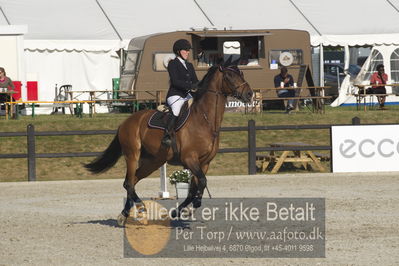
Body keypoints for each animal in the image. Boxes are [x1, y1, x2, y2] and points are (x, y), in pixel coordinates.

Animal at [85, 61, 253, 225]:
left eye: (242, 74)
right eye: (230, 76)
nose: (249, 94)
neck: (205, 120)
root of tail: (126, 122)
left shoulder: (204, 162)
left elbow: (195, 188)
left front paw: (179, 211)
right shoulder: (190, 159)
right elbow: (202, 182)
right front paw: (192, 207)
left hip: (153, 161)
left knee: (133, 180)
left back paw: (125, 214)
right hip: (132, 155)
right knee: (128, 183)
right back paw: (141, 208)